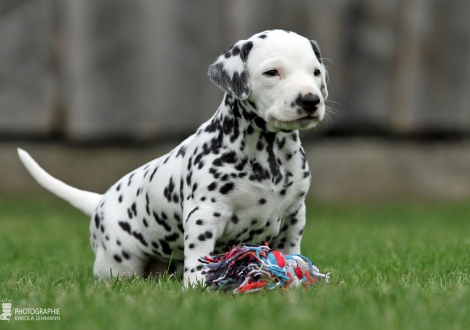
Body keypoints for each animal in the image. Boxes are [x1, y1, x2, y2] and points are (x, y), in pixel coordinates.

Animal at [17, 29, 326, 286]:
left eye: (316, 72)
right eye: (272, 72)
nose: (311, 100)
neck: (268, 153)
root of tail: (100, 202)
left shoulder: (293, 215)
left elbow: (290, 251)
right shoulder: (205, 213)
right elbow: (200, 252)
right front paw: (198, 283)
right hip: (118, 263)